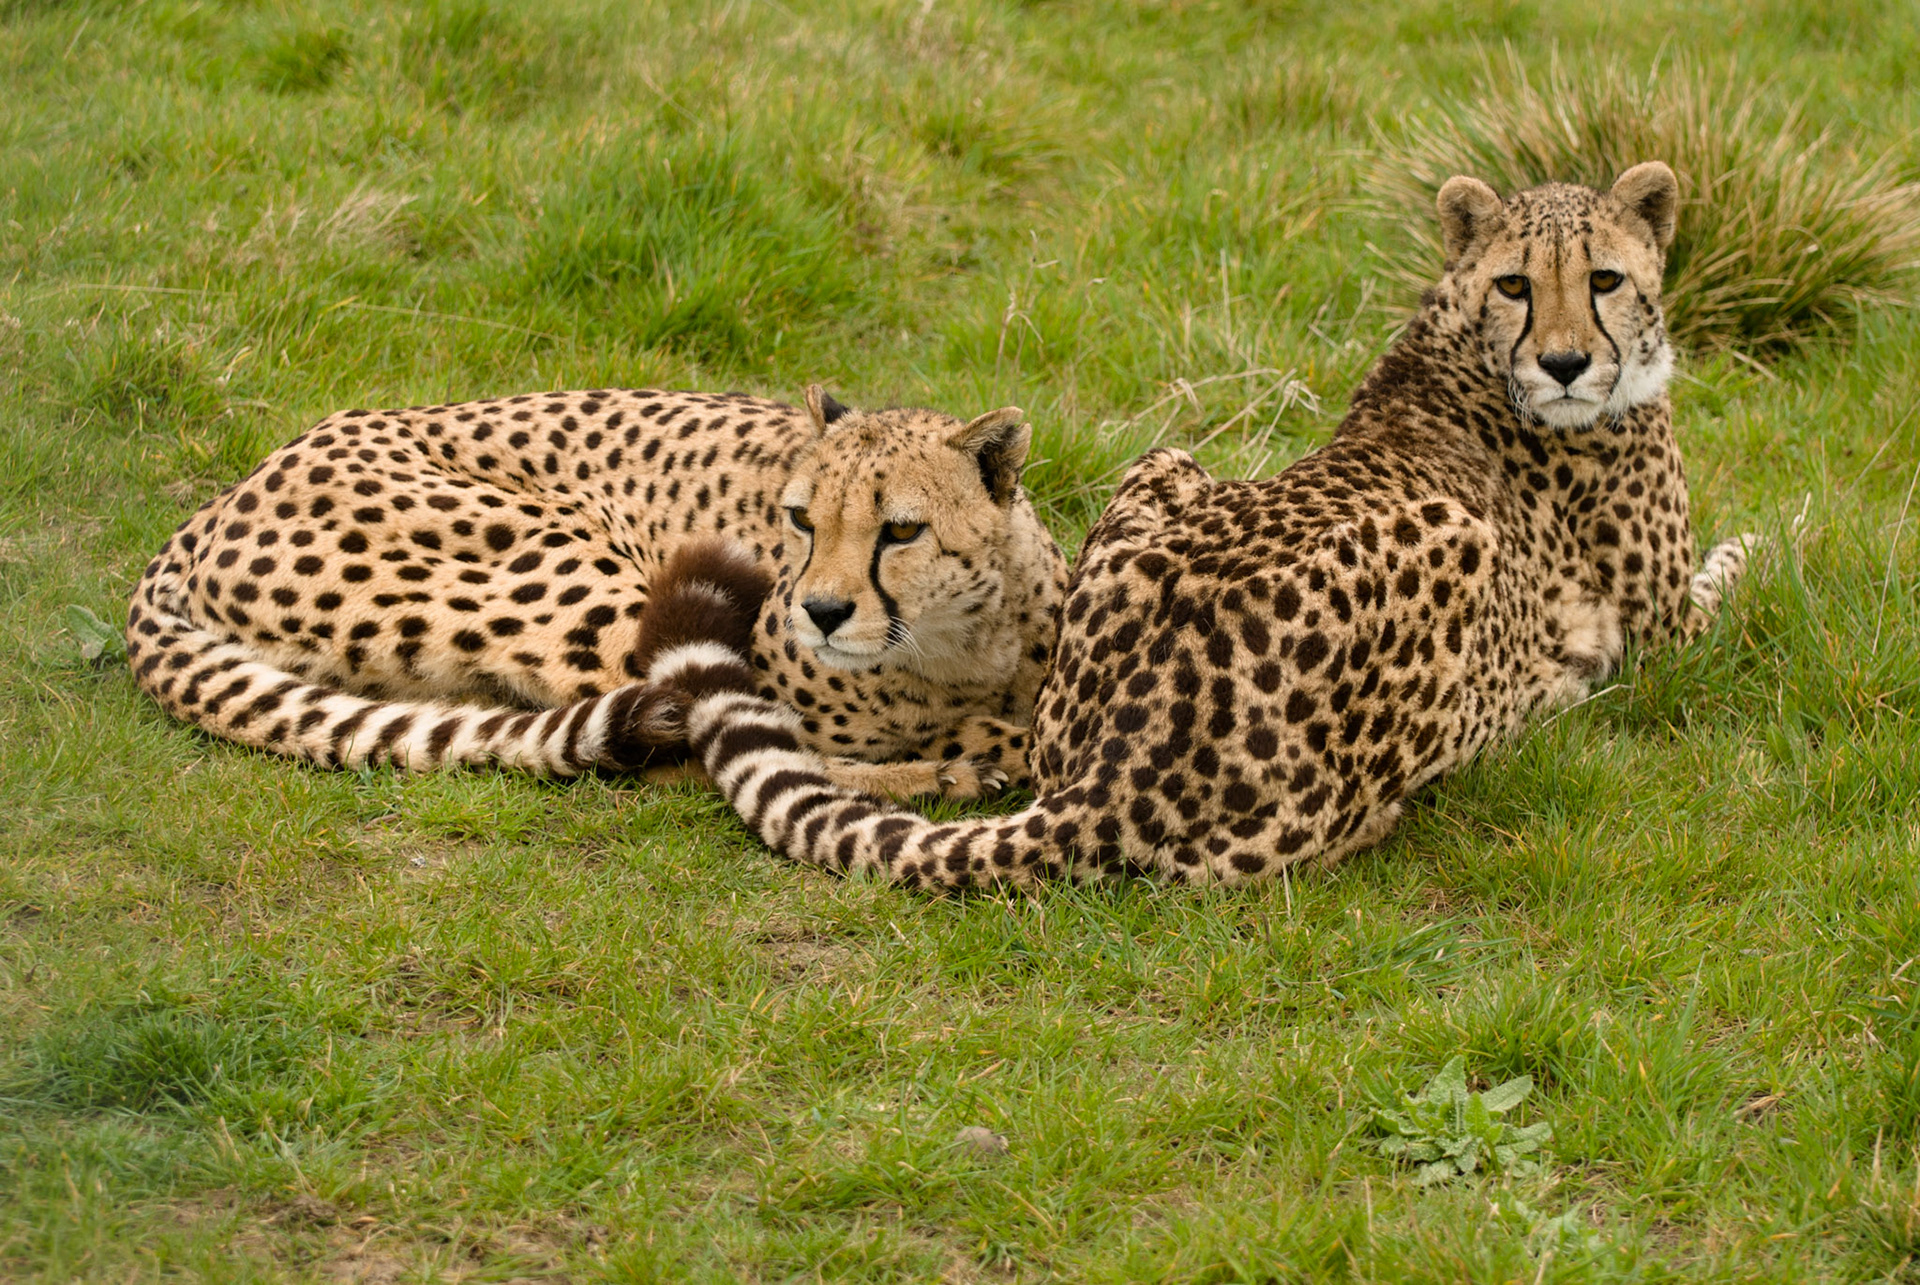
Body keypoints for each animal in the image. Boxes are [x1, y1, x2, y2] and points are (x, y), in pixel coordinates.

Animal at [126, 384, 1068, 798]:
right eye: (801, 519)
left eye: (899, 531)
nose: (822, 611)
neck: (961, 644)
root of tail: (208, 511)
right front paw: (966, 754)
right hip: (577, 575)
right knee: (678, 728)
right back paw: (944, 776)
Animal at [637, 161, 1764, 890]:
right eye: (1517, 284)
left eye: (1605, 279)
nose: (1566, 364)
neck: (1458, 336)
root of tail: (1111, 771)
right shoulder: (1670, 627)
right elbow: (1741, 567)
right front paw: (1768, 544)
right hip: (1451, 543)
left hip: (1166, 464)